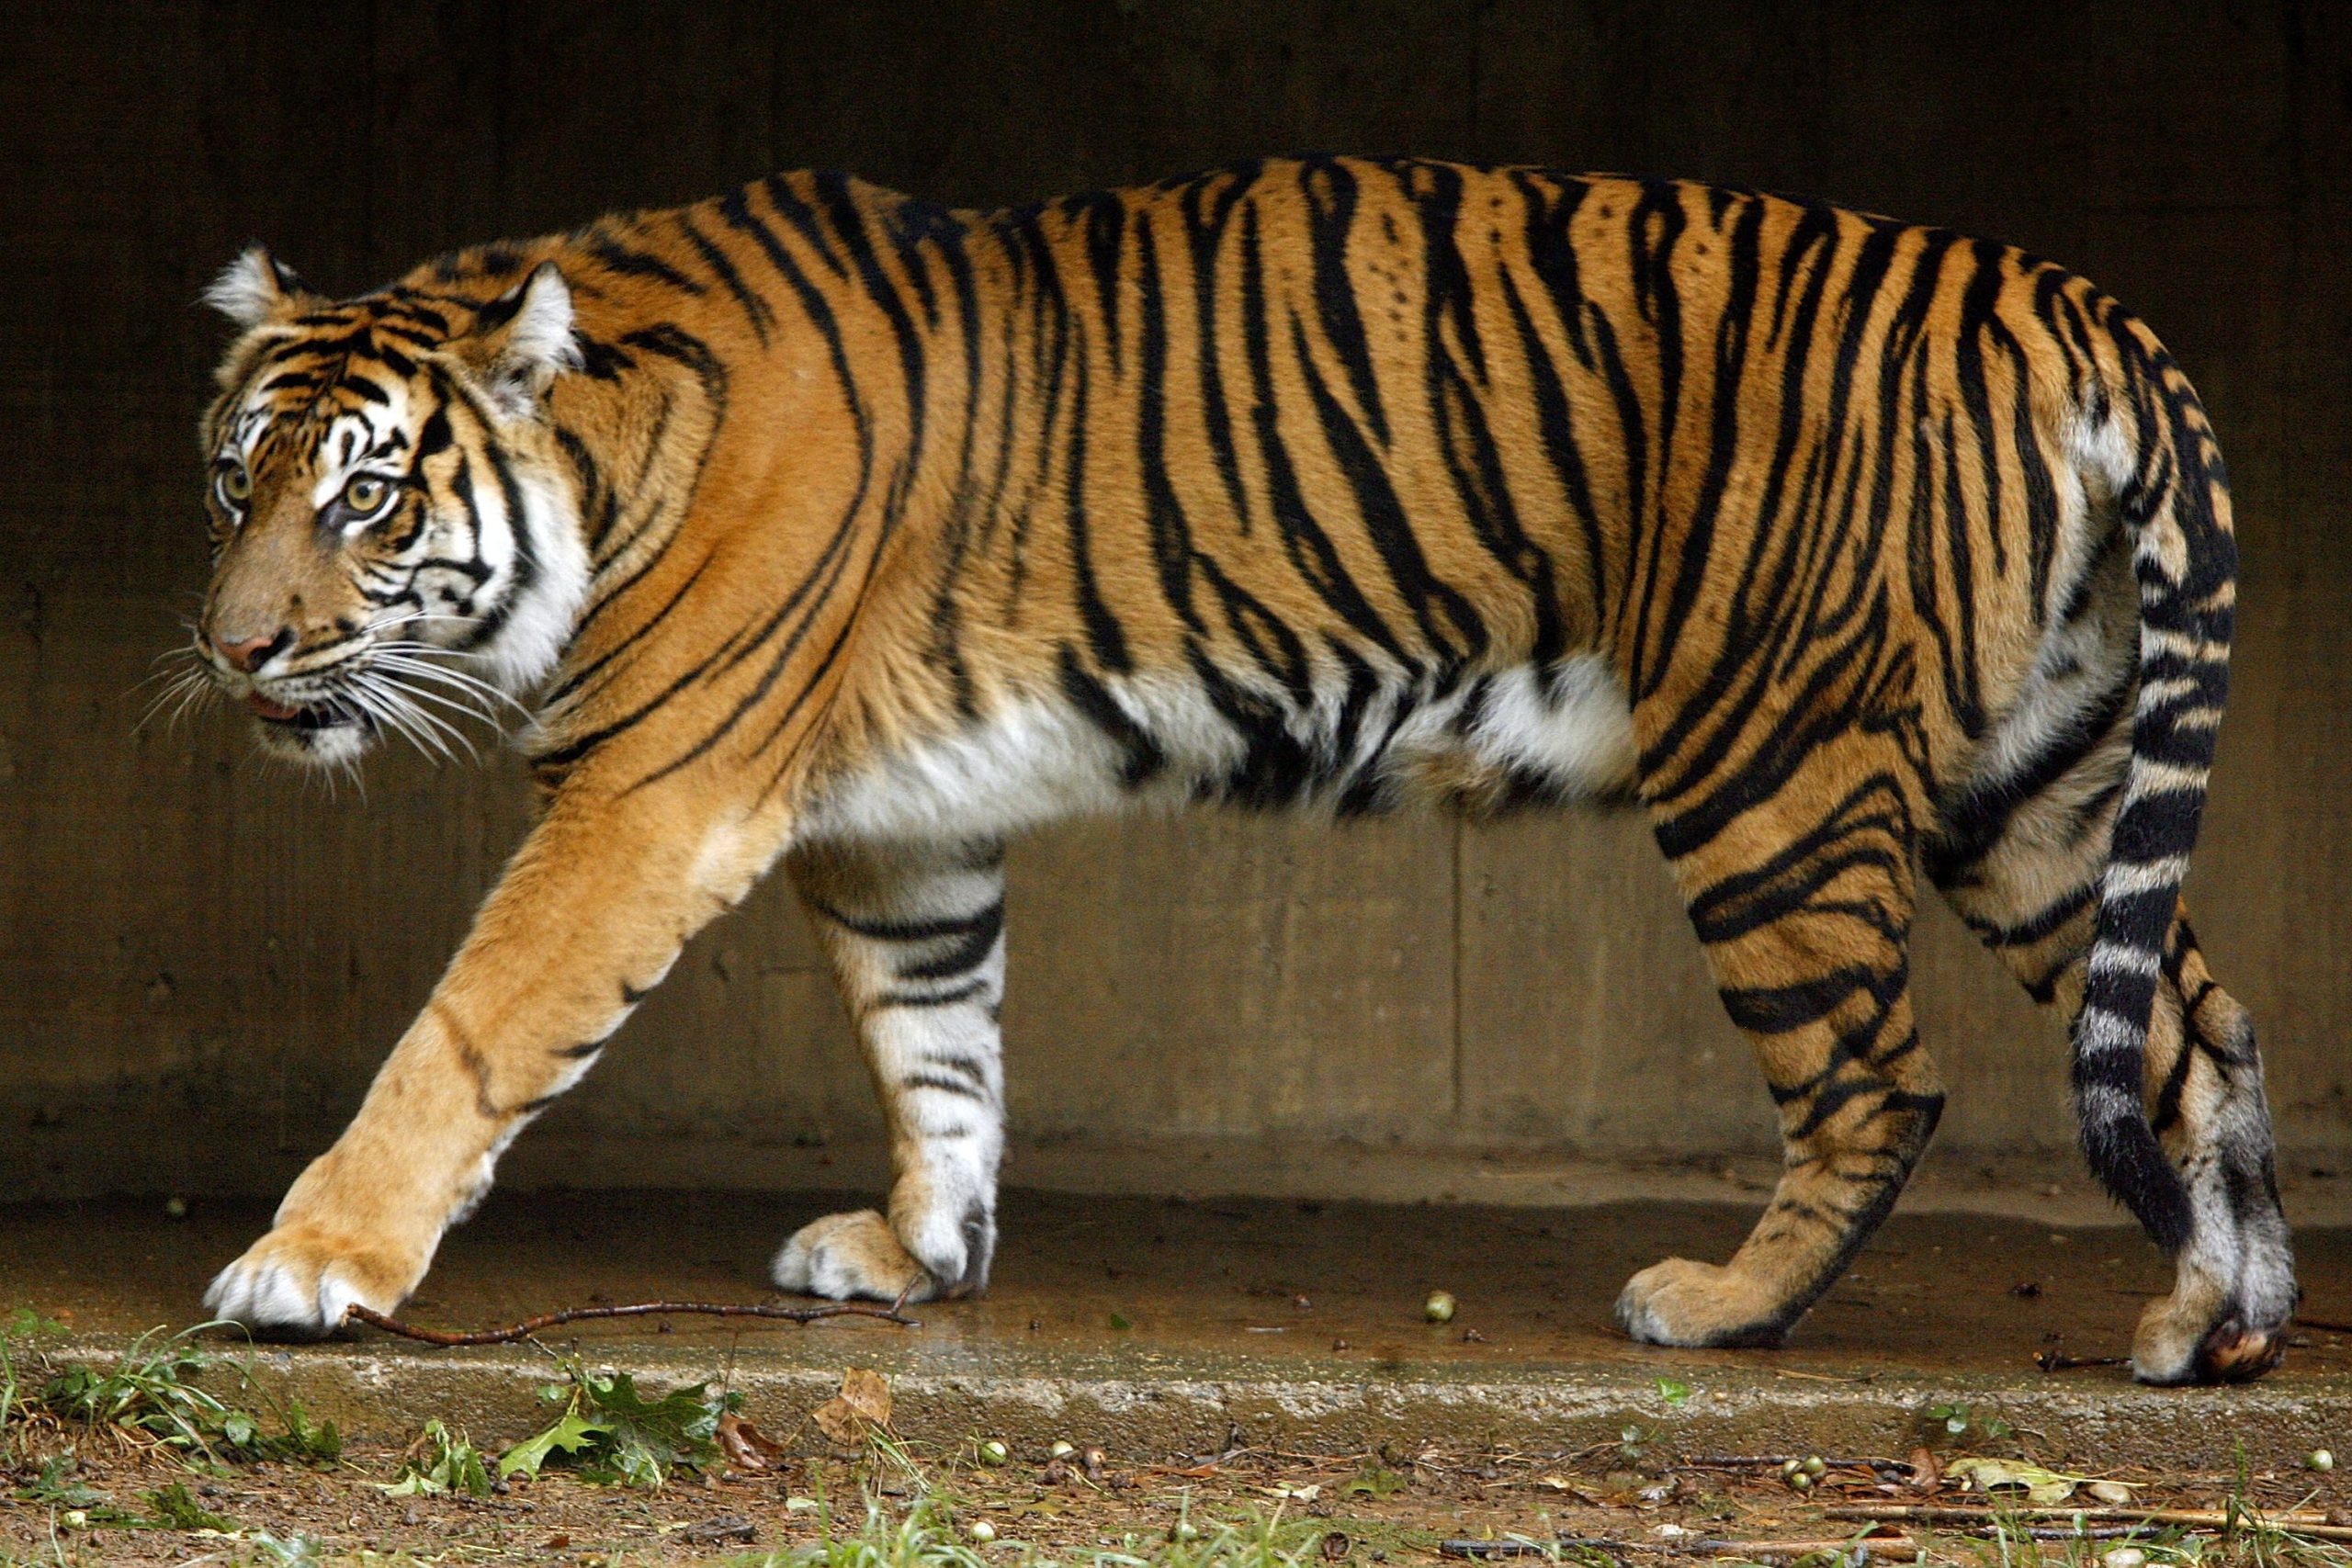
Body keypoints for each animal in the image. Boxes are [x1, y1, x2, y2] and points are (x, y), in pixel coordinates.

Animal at [183, 160, 2295, 1382]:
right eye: (234, 481)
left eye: (365, 499)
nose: (237, 649)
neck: (609, 456)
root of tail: (2062, 298)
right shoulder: (903, 829)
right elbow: (938, 1043)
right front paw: (923, 1252)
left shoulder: (651, 793)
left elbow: (467, 1032)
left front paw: (312, 1261)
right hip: (2033, 780)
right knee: (2191, 1023)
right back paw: (2214, 1322)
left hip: (1770, 770)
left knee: (1880, 1076)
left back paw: (1718, 1307)